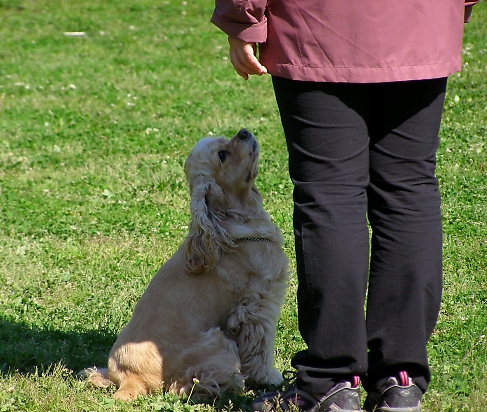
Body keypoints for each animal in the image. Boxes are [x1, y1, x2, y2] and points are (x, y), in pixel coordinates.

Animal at [86, 128, 290, 400]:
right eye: (222, 154)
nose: (244, 131)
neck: (226, 224)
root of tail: (131, 378)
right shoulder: (259, 305)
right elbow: (260, 348)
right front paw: (269, 377)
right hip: (220, 345)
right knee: (184, 385)